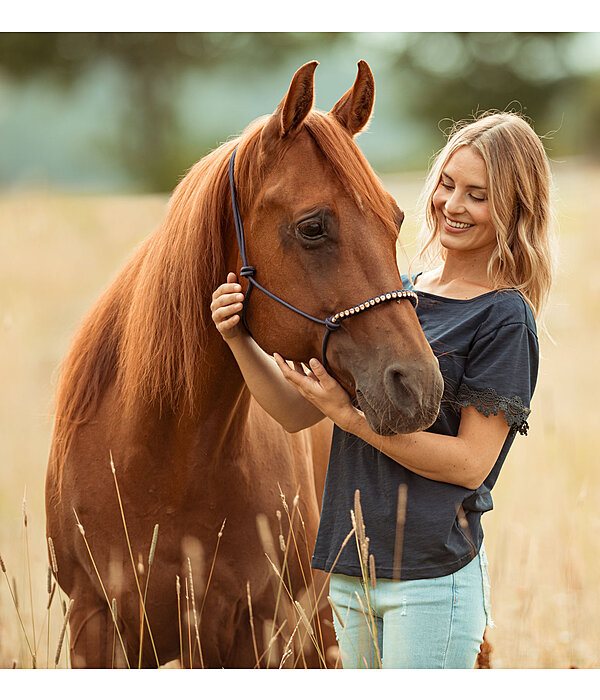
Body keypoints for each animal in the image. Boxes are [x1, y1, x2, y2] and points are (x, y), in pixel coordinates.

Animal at [44, 58, 442, 668]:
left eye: (394, 219)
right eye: (312, 227)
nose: (417, 386)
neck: (165, 463)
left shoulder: (259, 630)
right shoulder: (95, 625)